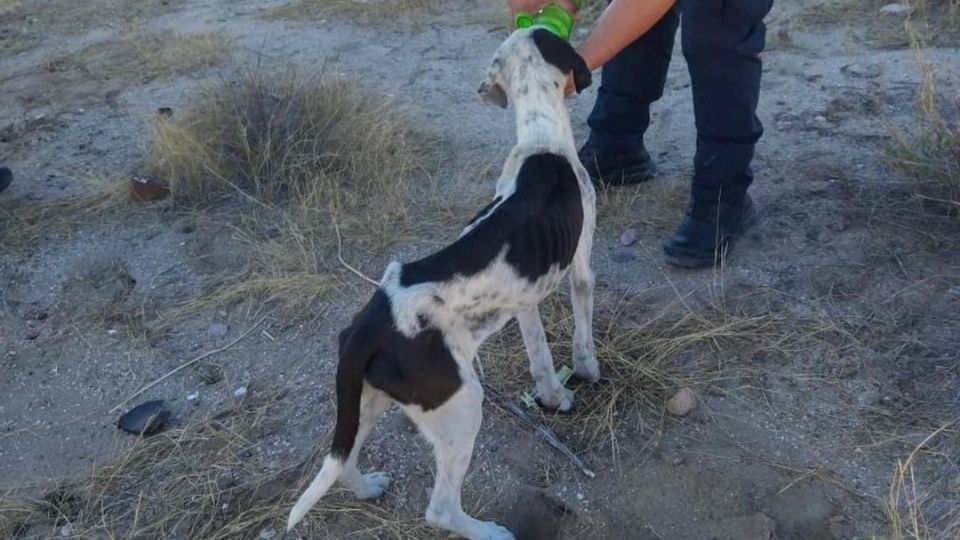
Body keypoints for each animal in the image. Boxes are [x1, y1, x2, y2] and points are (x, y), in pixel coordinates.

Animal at [284, 29, 596, 540]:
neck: (539, 137)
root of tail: (368, 325)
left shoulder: (524, 303)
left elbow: (541, 359)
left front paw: (554, 396)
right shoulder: (582, 265)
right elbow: (582, 331)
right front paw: (587, 371)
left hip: (369, 400)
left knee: (340, 459)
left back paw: (367, 487)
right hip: (462, 405)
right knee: (441, 508)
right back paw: (488, 531)